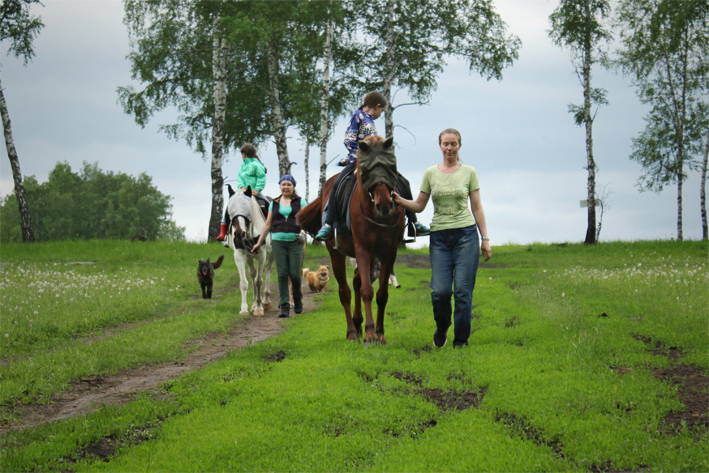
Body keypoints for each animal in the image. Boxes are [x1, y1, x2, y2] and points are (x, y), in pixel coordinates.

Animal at [298, 135, 404, 342]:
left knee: (356, 282)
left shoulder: (388, 253)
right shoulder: (362, 250)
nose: (385, 204)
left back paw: (358, 323)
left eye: (390, 165)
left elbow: (381, 293)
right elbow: (367, 291)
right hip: (337, 254)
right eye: (367, 168)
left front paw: (380, 334)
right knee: (345, 291)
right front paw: (370, 334)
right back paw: (352, 332)